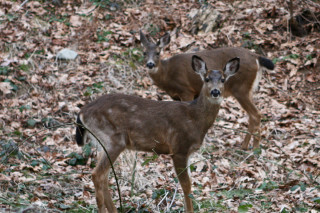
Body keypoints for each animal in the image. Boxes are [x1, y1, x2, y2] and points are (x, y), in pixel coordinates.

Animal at [75, 55, 240, 213]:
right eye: (206, 79)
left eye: (223, 79)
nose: (215, 92)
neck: (195, 119)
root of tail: (82, 112)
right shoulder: (179, 148)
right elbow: (186, 185)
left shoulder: (188, 152)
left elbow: (189, 184)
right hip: (114, 139)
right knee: (98, 175)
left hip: (103, 143)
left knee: (105, 176)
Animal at [140, 30, 276, 150]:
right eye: (144, 53)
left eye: (158, 53)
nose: (150, 64)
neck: (167, 74)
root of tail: (257, 57)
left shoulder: (186, 90)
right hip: (248, 89)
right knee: (253, 115)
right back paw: (246, 146)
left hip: (241, 88)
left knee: (256, 114)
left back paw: (253, 148)